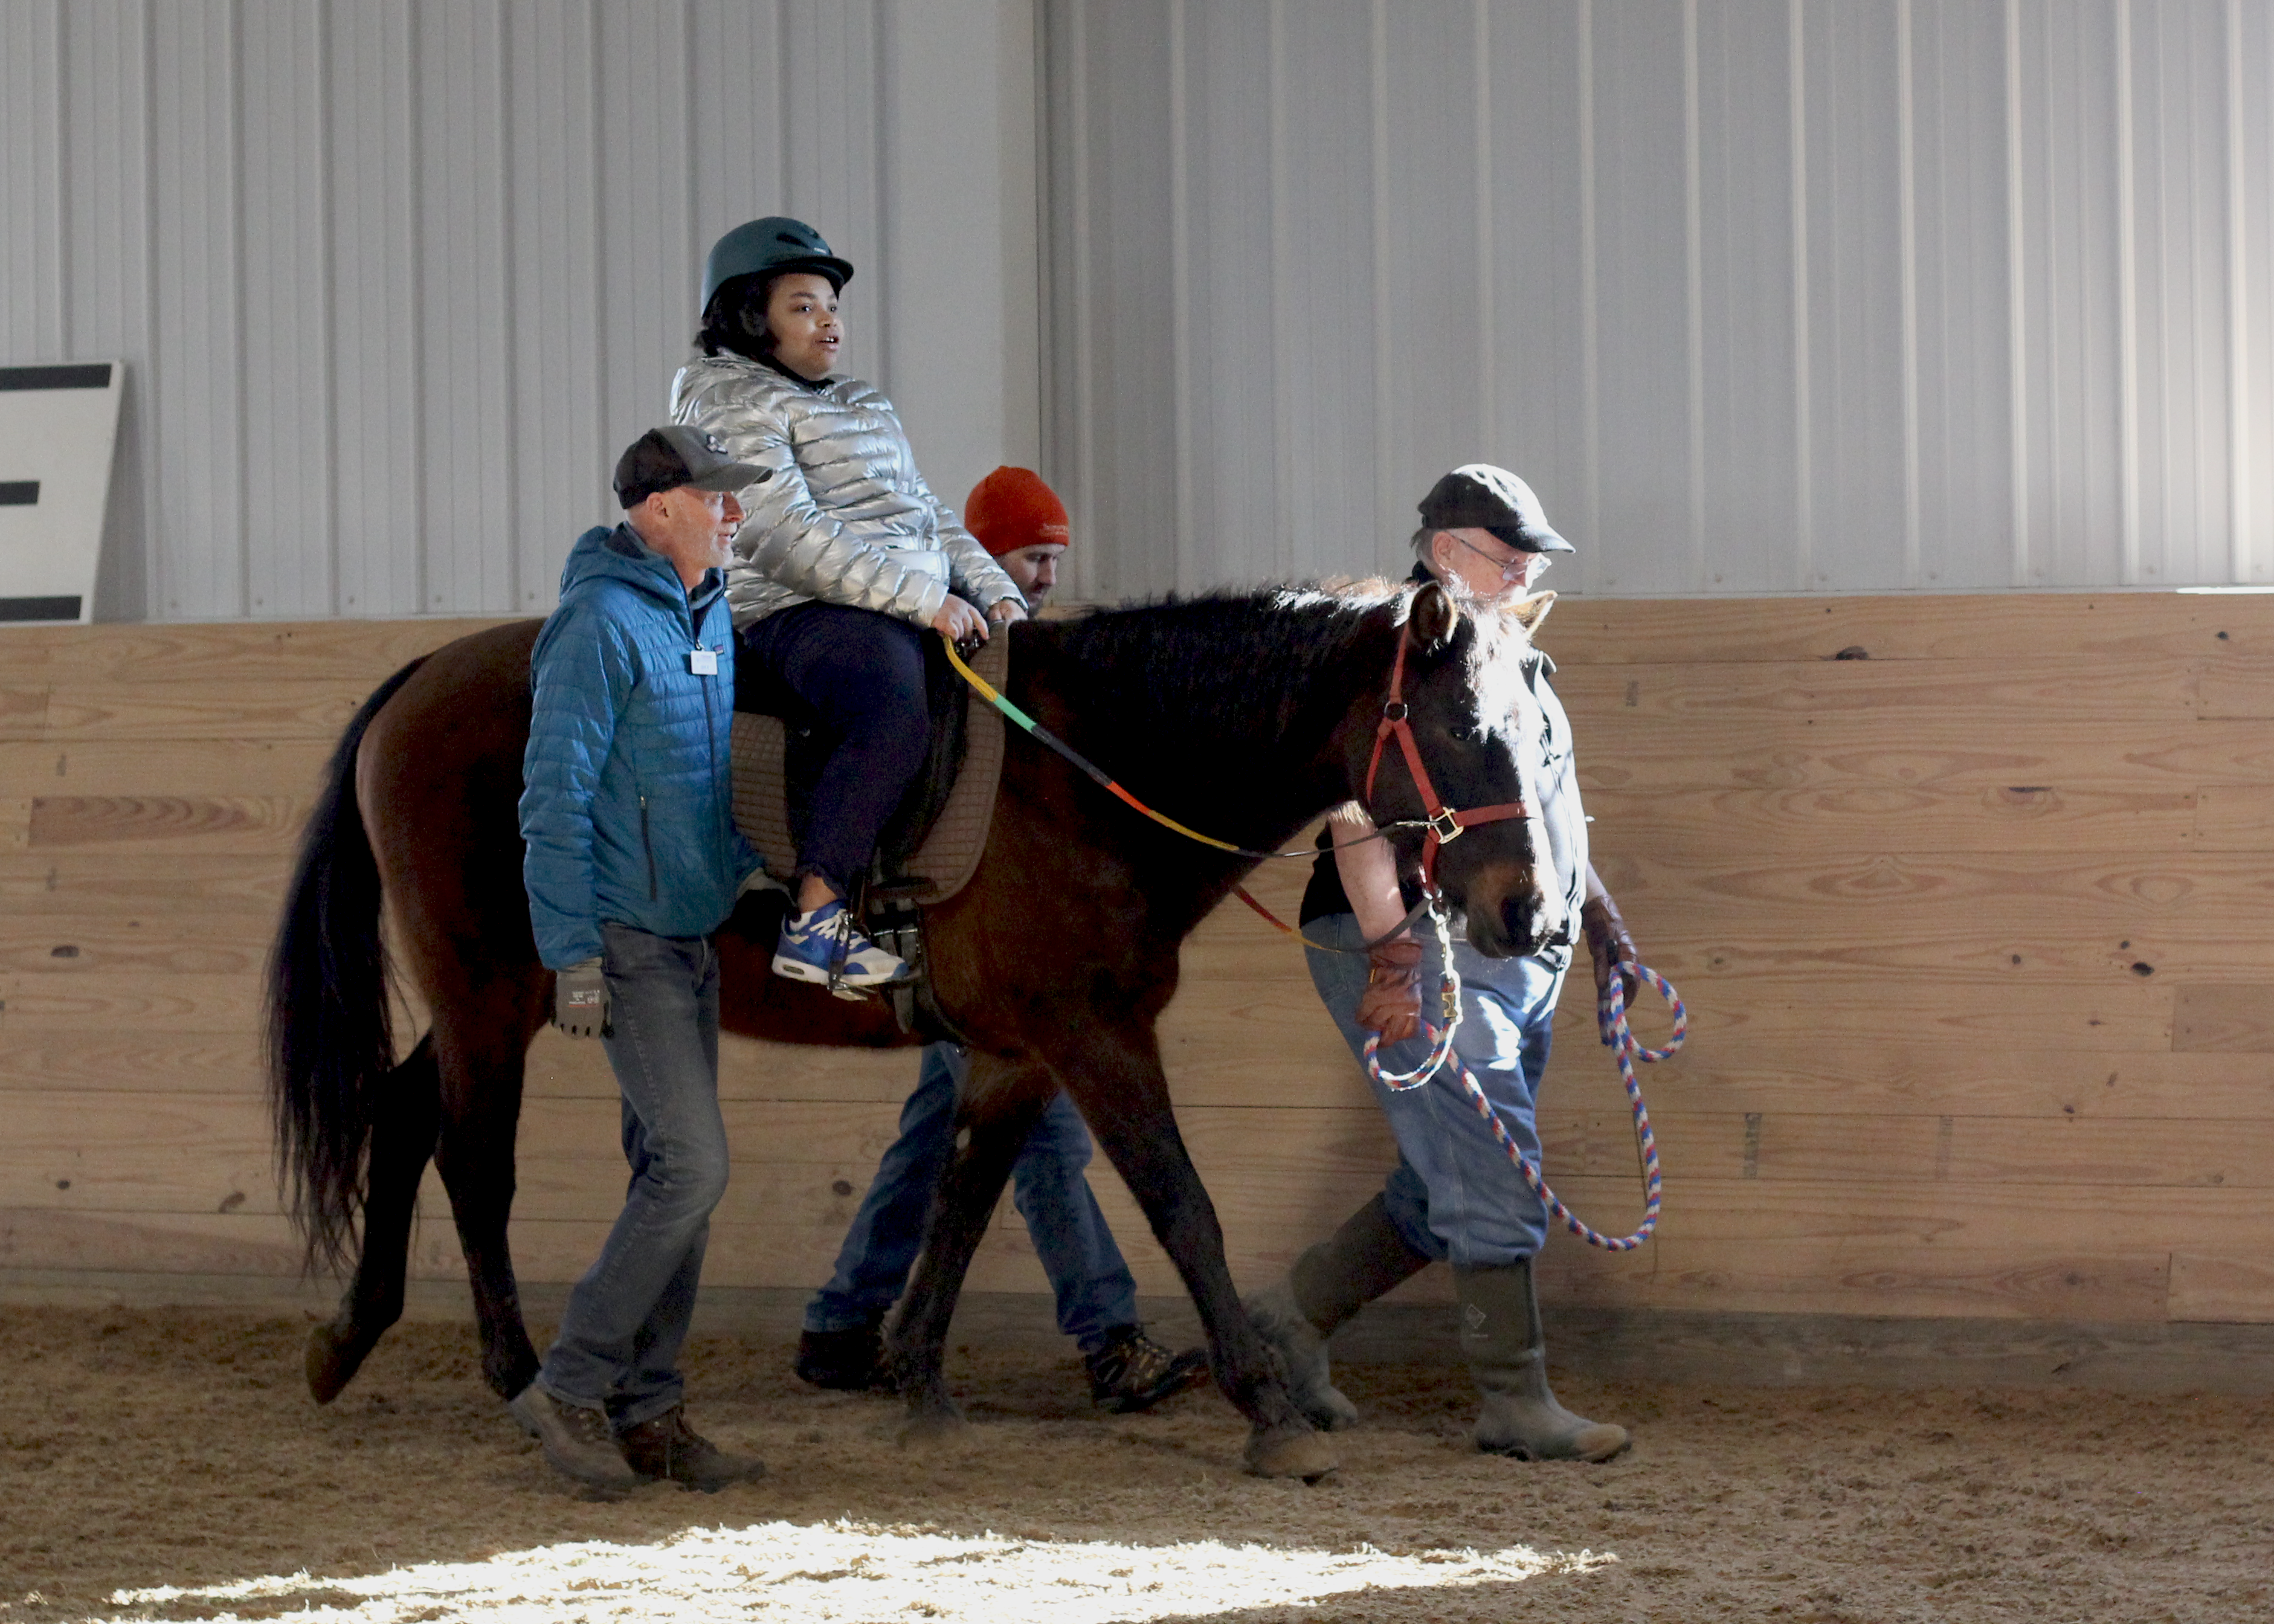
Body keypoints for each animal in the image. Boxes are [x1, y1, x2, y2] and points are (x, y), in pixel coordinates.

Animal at [266, 575, 1564, 1474]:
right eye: (1464, 729)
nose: (1532, 911)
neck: (1089, 777)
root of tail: (422, 673)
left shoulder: (1014, 1053)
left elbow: (960, 1199)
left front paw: (919, 1382)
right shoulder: (1094, 1036)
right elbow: (1179, 1205)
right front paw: (1267, 1404)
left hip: (502, 994)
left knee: (399, 1111)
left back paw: (348, 1336)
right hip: (487, 993)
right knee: (471, 1162)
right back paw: (515, 1371)